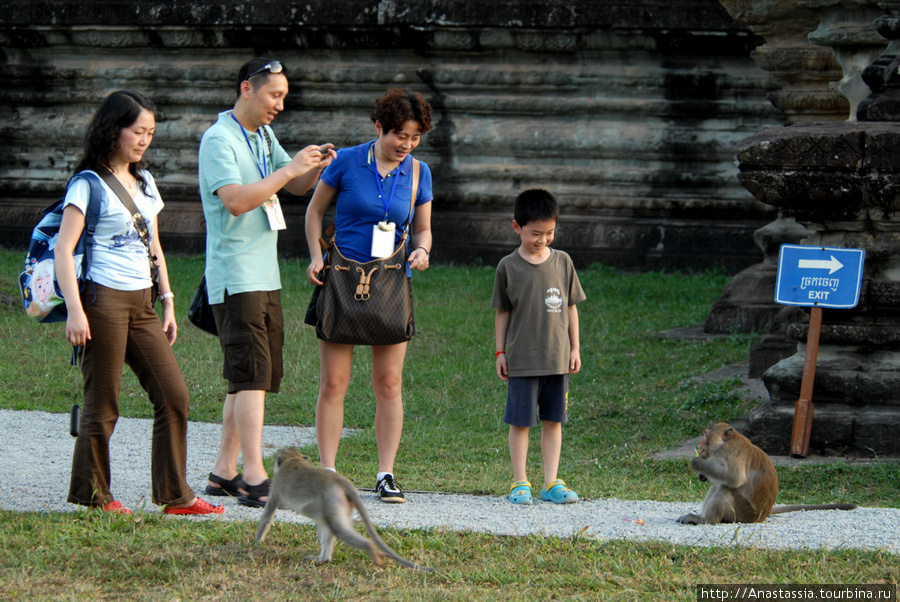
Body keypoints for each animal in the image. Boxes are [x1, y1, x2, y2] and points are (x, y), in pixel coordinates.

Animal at [255, 448, 434, 568]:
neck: (293, 459)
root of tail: (340, 481)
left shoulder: (275, 486)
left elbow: (267, 516)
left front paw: (256, 542)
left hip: (333, 498)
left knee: (337, 528)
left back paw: (370, 549)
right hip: (338, 503)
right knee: (328, 525)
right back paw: (323, 559)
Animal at [676, 420, 856, 524]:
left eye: (706, 435)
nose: (699, 443)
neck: (726, 443)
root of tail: (762, 516)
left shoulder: (730, 454)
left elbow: (734, 478)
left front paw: (697, 462)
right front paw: (702, 473)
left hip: (743, 513)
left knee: (726, 488)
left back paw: (706, 520)